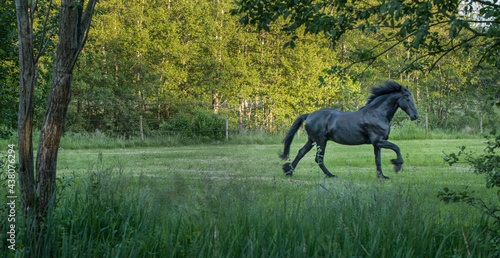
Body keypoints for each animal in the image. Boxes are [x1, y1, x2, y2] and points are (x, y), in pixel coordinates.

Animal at [282, 81, 418, 179]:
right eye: (407, 98)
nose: (415, 116)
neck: (377, 113)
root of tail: (309, 115)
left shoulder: (377, 144)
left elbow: (378, 160)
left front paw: (382, 176)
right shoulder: (378, 141)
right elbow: (396, 147)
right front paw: (397, 165)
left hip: (312, 140)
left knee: (301, 152)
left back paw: (289, 171)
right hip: (321, 141)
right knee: (318, 159)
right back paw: (331, 175)